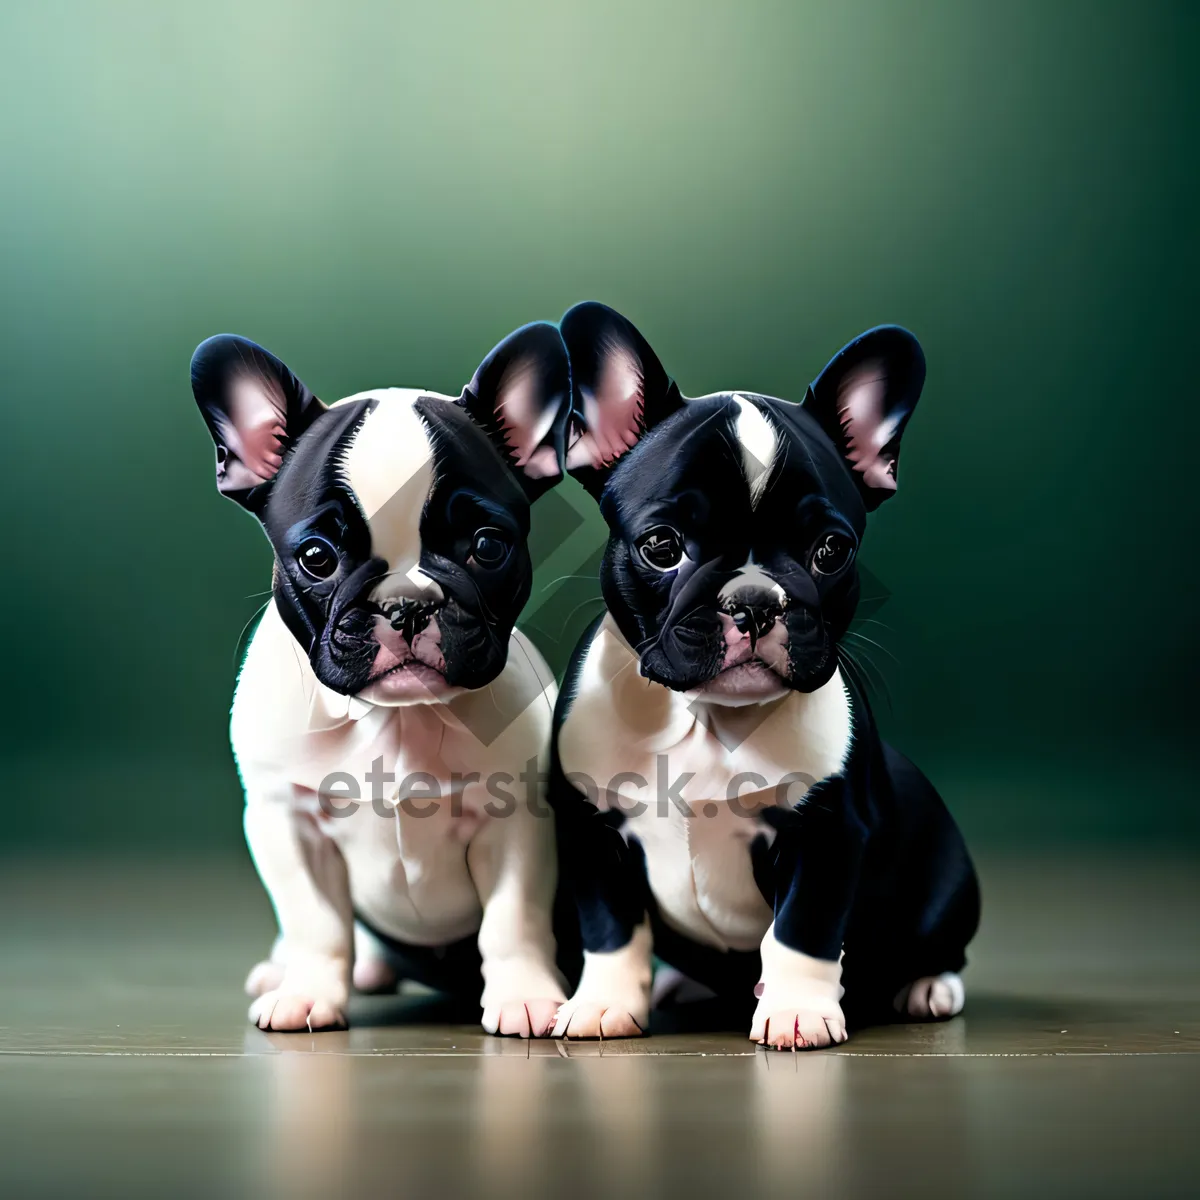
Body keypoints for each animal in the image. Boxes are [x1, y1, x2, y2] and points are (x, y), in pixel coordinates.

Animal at [189, 324, 573, 1036]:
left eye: (487, 546)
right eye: (317, 557)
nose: (406, 604)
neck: (398, 720)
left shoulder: (516, 826)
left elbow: (513, 920)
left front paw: (525, 995)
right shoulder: (289, 821)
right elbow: (315, 921)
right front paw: (308, 992)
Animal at [549, 302, 979, 1051]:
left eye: (831, 550)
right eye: (662, 546)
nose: (753, 600)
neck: (707, 719)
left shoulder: (827, 835)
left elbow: (801, 931)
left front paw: (800, 1012)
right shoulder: (591, 828)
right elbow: (610, 927)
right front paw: (603, 1004)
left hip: (950, 880)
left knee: (941, 944)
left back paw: (928, 987)